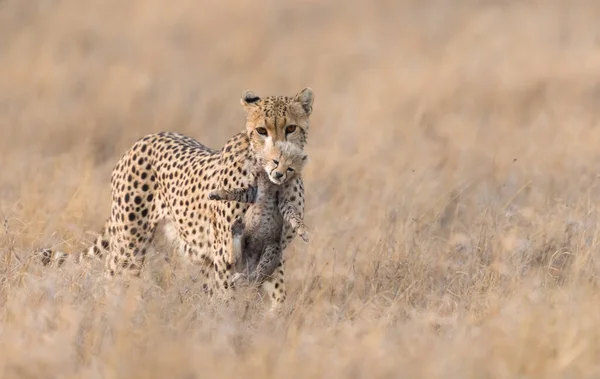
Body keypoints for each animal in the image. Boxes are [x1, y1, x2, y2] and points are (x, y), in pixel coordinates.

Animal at [209, 138, 310, 290]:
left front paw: (302, 231)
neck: (271, 184)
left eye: (290, 169)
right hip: (243, 247)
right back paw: (236, 230)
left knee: (256, 276)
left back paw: (241, 277)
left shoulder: (283, 202)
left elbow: (293, 215)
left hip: (272, 248)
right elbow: (235, 192)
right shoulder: (252, 192)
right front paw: (217, 193)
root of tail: (248, 264)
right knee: (233, 260)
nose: (279, 174)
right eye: (276, 161)